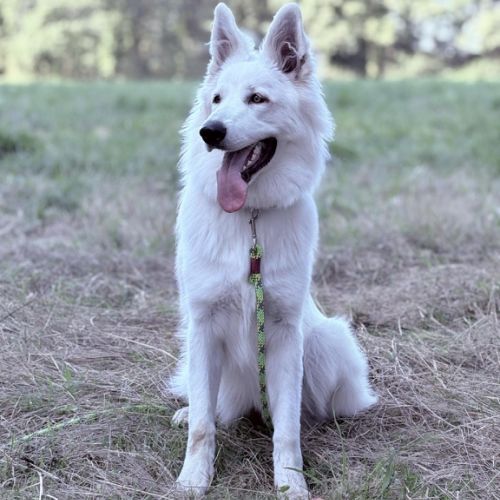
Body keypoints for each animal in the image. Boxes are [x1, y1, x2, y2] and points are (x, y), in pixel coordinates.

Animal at [169, 3, 377, 497]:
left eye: (258, 99)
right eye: (217, 100)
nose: (210, 132)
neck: (250, 219)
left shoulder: (284, 331)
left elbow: (286, 429)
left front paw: (291, 483)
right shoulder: (202, 326)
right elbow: (203, 426)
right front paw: (194, 478)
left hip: (327, 342)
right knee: (214, 409)